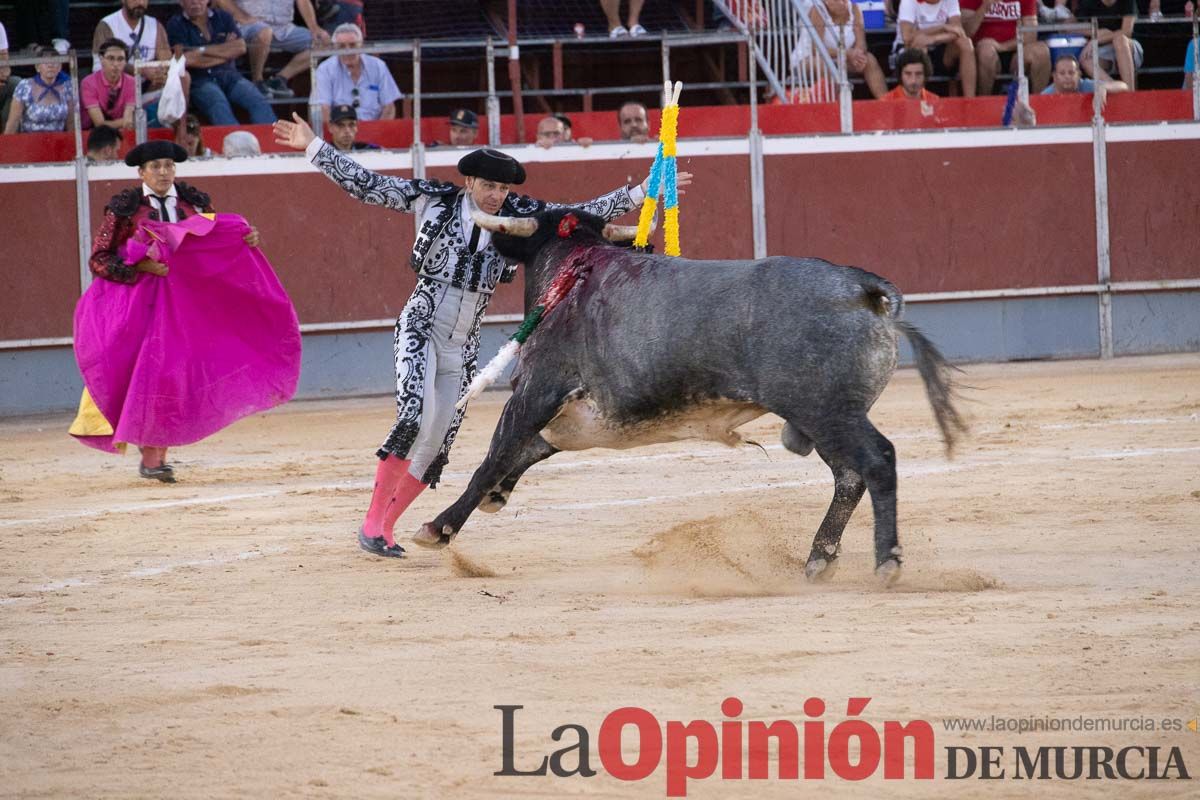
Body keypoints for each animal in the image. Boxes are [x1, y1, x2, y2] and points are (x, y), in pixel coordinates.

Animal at [415, 206, 964, 582]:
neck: (574, 274)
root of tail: (862, 288)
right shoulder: (576, 420)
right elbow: (523, 452)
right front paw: (494, 497)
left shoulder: (536, 390)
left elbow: (494, 455)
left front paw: (438, 528)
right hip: (825, 417)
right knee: (850, 477)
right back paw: (818, 560)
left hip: (827, 410)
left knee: (877, 460)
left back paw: (886, 561)